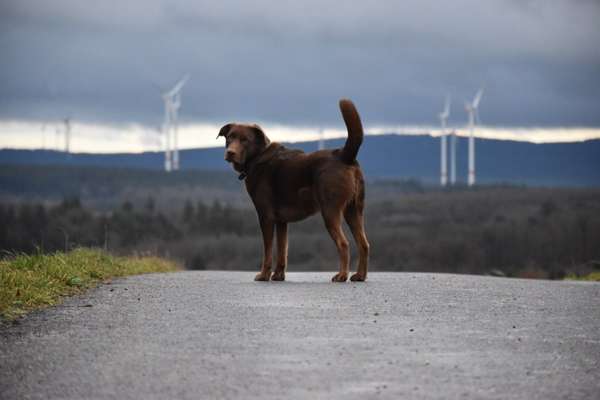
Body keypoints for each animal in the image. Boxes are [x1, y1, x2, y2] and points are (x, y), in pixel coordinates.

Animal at [219, 99, 368, 282]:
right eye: (230, 137)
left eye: (245, 140)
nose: (230, 153)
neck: (258, 157)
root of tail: (344, 155)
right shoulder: (282, 221)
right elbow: (282, 250)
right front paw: (278, 275)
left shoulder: (266, 216)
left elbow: (268, 250)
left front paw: (264, 275)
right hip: (354, 210)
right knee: (364, 244)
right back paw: (360, 275)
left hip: (330, 211)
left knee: (344, 244)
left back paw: (341, 275)